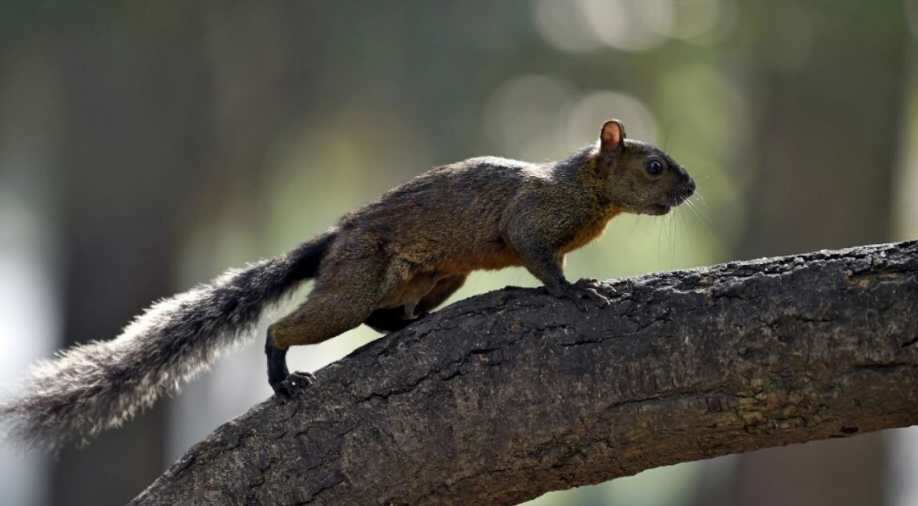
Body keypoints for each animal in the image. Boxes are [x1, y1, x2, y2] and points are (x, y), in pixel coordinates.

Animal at [0, 119, 694, 450]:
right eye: (654, 165)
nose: (690, 188)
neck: (584, 188)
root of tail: (333, 241)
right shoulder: (531, 220)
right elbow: (540, 261)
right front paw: (577, 292)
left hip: (441, 274)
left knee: (381, 319)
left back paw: (412, 323)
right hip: (359, 279)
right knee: (292, 325)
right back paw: (283, 378)